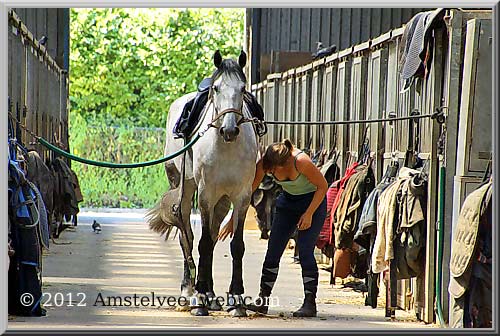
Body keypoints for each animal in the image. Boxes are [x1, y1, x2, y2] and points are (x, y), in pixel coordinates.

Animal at [146, 50, 258, 316]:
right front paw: (200, 298)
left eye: (242, 88)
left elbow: (235, 245)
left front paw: (236, 299)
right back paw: (190, 292)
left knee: (213, 236)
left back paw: (212, 295)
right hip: (184, 188)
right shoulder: (206, 194)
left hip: (222, 201)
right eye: (216, 89)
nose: (229, 130)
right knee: (185, 234)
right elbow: (203, 242)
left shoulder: (241, 197)